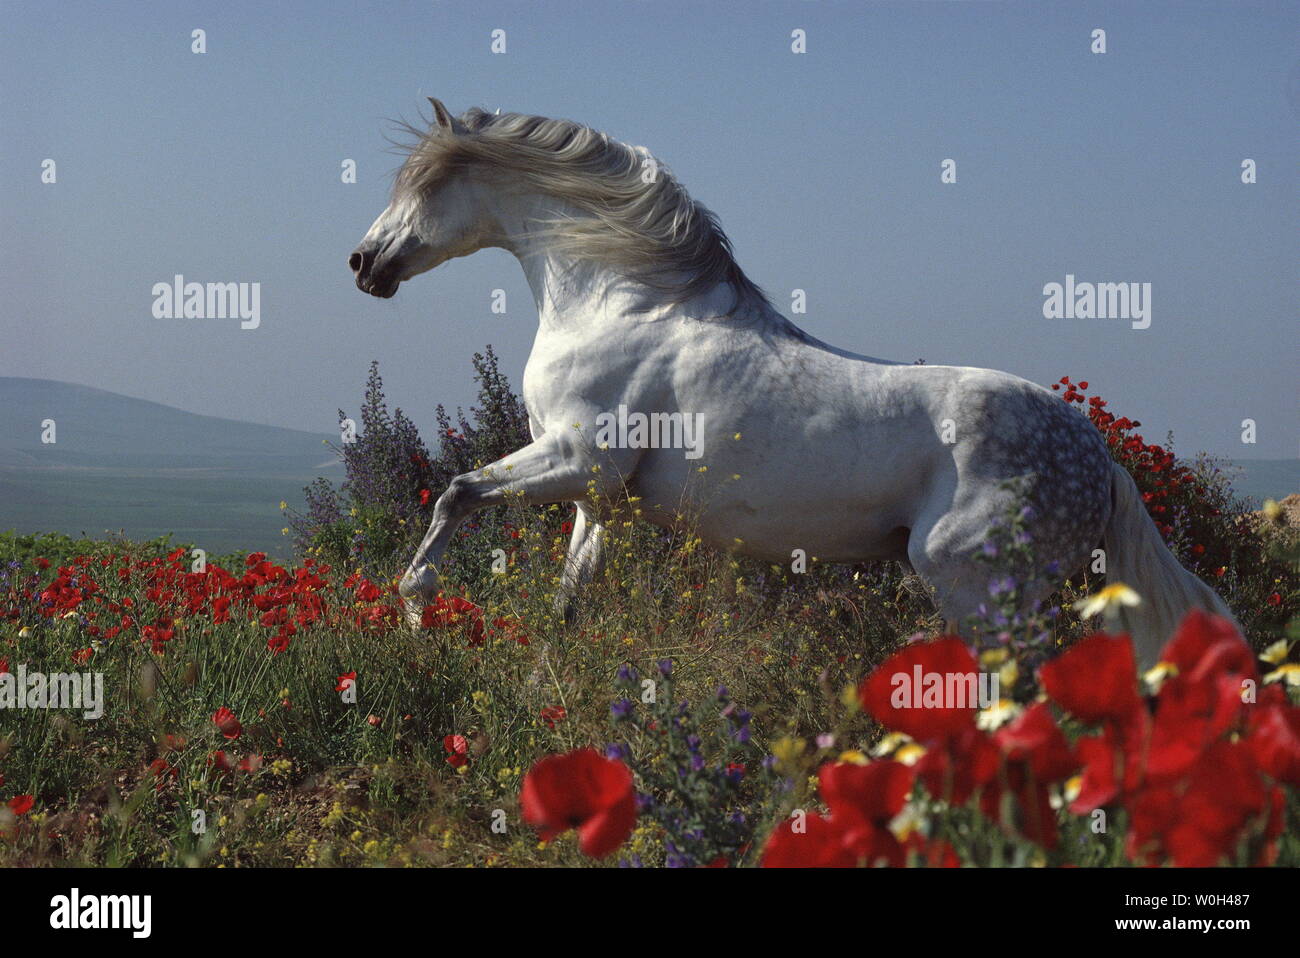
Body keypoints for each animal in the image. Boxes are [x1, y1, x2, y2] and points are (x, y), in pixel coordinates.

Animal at [348, 98, 1235, 666]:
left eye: (425, 186)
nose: (364, 263)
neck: (617, 301)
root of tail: (1100, 462)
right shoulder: (599, 500)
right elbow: (568, 601)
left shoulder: (572, 459)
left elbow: (456, 492)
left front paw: (416, 613)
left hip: (976, 587)